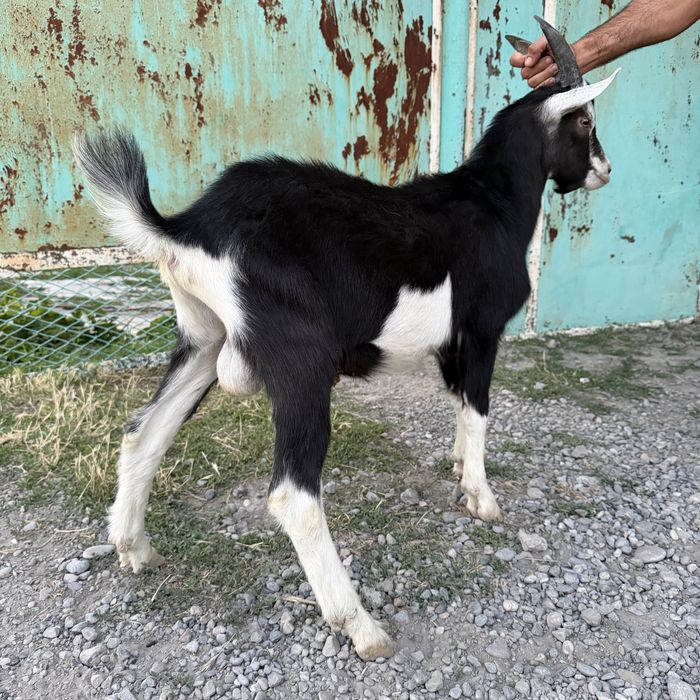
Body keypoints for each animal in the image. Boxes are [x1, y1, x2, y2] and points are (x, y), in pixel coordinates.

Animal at [74, 18, 619, 661]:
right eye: (583, 121)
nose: (606, 170)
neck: (495, 203)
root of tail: (189, 227)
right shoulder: (481, 329)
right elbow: (479, 410)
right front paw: (482, 498)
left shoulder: (451, 346)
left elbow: (459, 405)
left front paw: (459, 467)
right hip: (301, 360)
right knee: (293, 496)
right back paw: (360, 625)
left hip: (203, 341)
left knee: (144, 432)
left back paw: (134, 548)